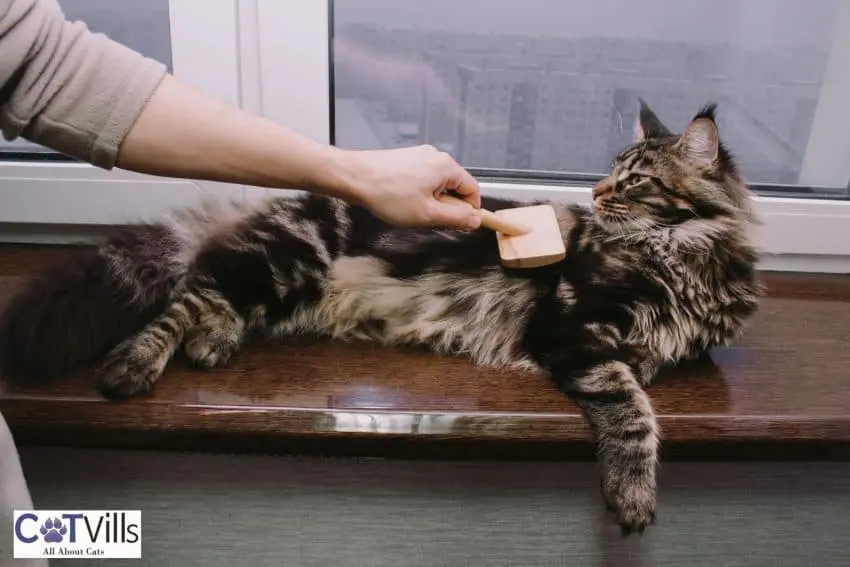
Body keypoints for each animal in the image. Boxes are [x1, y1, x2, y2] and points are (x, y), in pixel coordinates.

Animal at [0, 102, 760, 536]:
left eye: (635, 179)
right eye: (612, 171)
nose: (598, 193)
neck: (685, 257)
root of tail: (271, 206)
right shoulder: (573, 330)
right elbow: (631, 408)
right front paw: (632, 491)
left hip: (281, 282)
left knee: (211, 297)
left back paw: (213, 340)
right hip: (289, 257)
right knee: (185, 294)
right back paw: (136, 363)